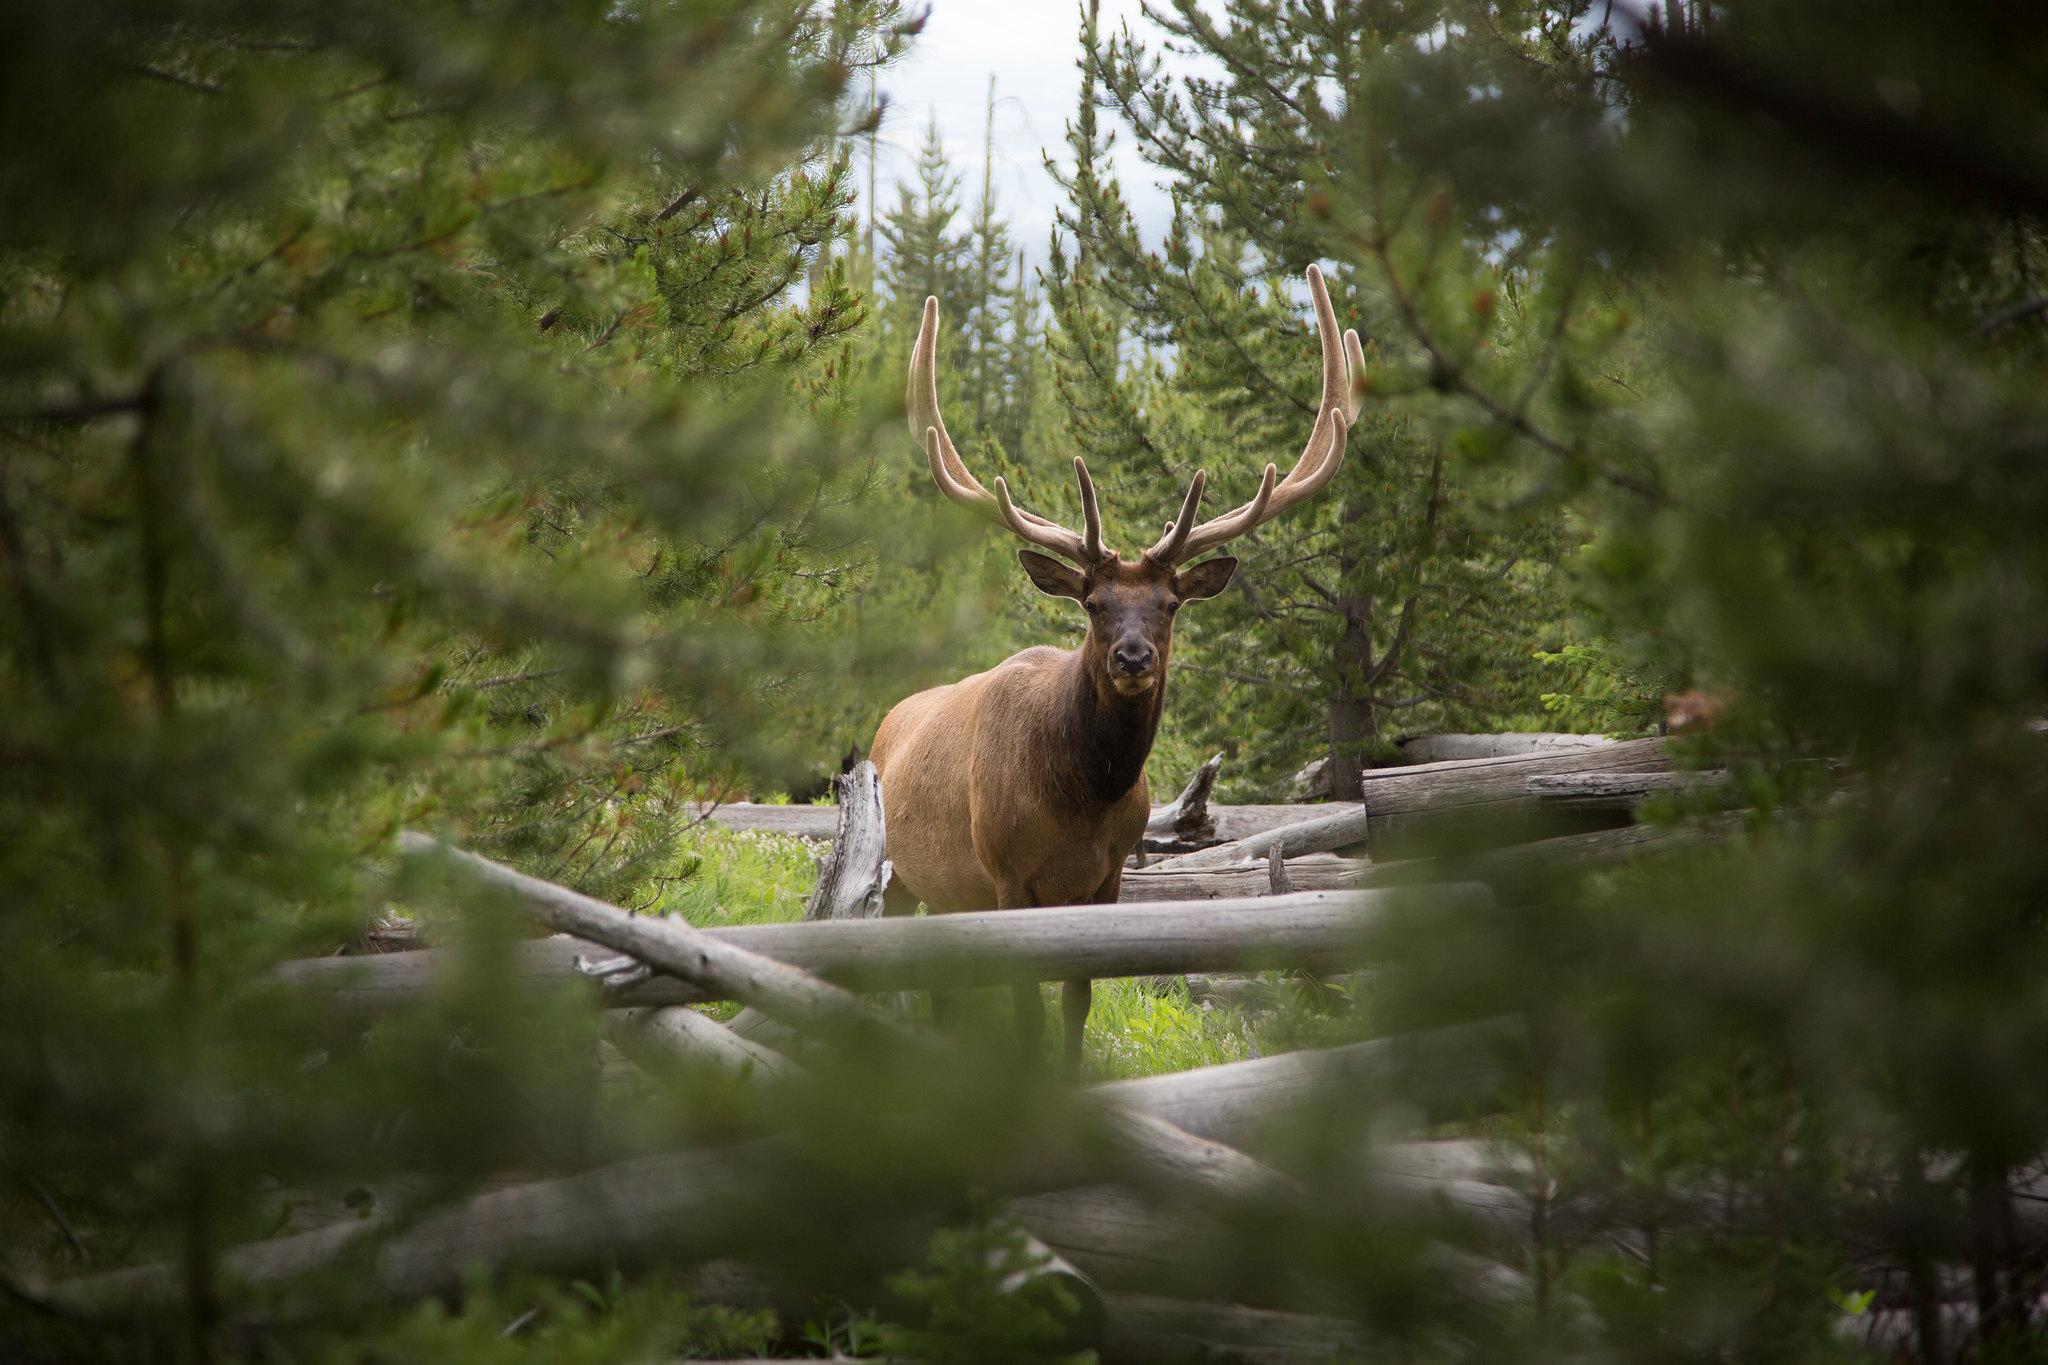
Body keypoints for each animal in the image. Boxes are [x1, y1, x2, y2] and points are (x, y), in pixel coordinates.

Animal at [869, 264, 1365, 1077]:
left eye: (1168, 603)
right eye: (1095, 602)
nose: (1133, 656)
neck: (1081, 801)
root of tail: (887, 723)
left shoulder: (1106, 879)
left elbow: (1077, 999)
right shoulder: (1006, 873)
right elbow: (1028, 1010)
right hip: (899, 870)